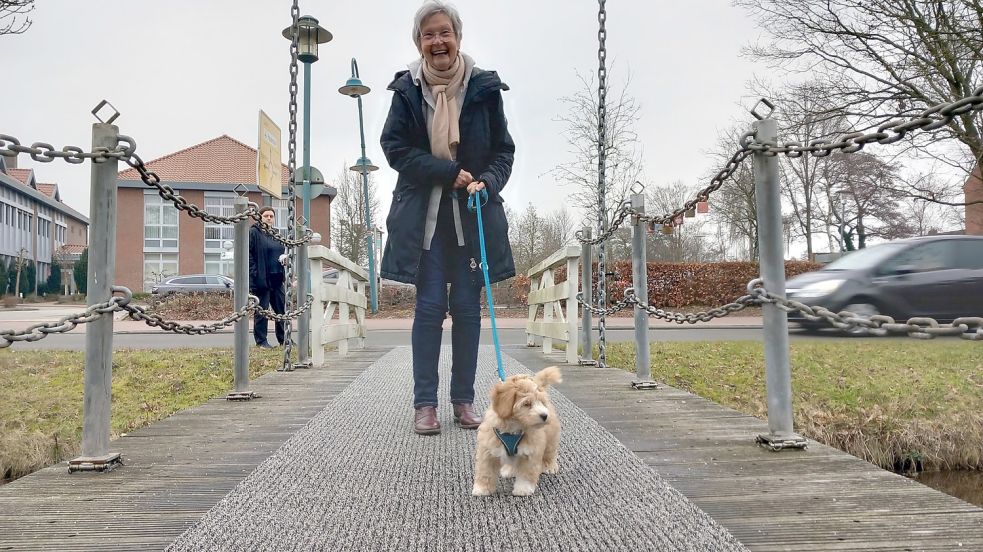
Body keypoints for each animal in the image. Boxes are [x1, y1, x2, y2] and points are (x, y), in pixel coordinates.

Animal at [474, 366, 564, 496]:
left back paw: (549, 466)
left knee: (550, 453)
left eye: (541, 403)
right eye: (527, 403)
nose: (545, 415)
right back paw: (509, 470)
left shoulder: (530, 452)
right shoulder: (488, 450)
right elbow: (485, 471)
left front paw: (523, 489)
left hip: (551, 438)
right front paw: (482, 488)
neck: (514, 427)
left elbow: (526, 473)